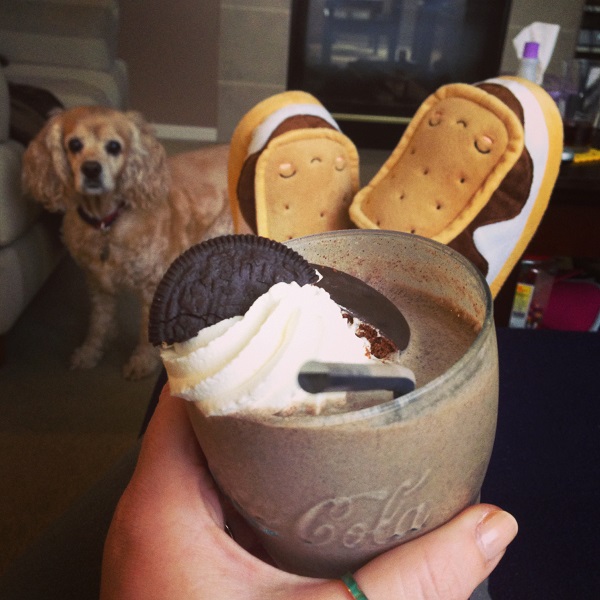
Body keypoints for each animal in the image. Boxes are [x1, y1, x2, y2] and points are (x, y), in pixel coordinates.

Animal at [23, 106, 231, 380]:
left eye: (114, 146)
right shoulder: (97, 283)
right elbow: (99, 323)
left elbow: (145, 332)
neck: (106, 223)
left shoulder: (152, 285)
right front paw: (89, 353)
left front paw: (142, 362)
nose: (91, 169)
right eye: (74, 144)